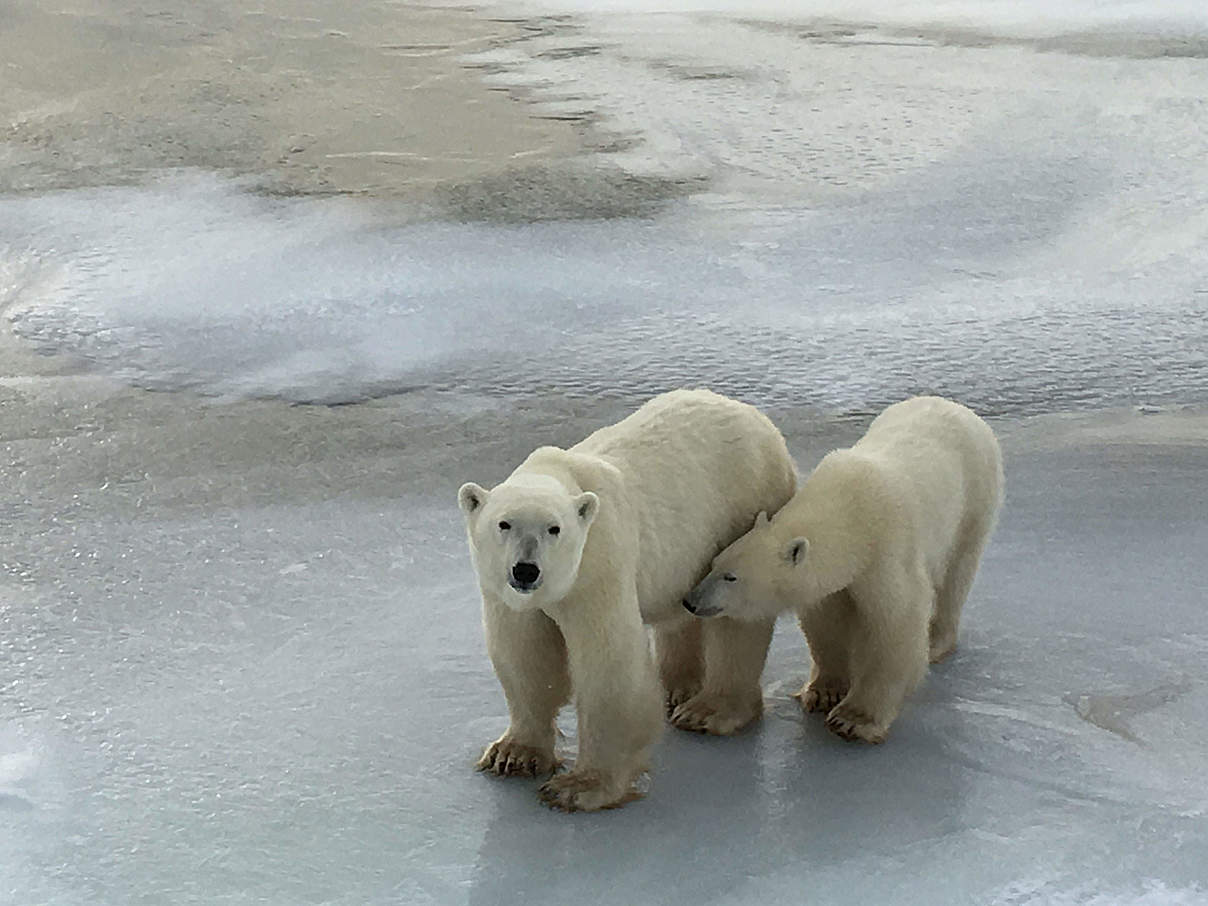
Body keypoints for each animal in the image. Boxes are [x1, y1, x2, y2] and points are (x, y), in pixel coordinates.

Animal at [456, 386, 797, 811]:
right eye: (504, 524)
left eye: (554, 529)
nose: (525, 570)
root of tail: (757, 417)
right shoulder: (505, 595)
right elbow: (523, 655)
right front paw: (513, 754)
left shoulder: (599, 563)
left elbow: (608, 666)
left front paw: (580, 786)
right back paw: (679, 687)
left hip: (745, 506)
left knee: (736, 619)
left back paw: (707, 710)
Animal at [686, 396, 1005, 744]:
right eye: (714, 563)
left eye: (732, 577)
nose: (691, 601)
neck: (850, 511)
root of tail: (958, 408)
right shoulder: (834, 579)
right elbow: (827, 620)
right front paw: (823, 691)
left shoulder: (886, 549)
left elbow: (897, 622)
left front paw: (854, 718)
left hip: (975, 497)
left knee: (958, 572)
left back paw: (937, 641)